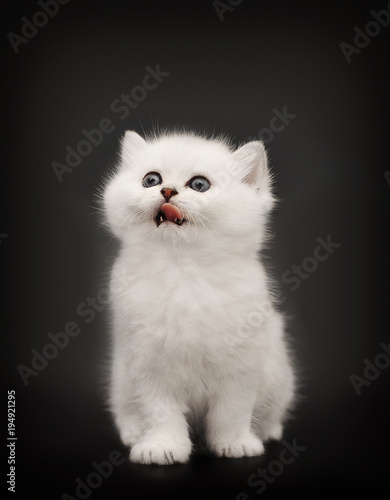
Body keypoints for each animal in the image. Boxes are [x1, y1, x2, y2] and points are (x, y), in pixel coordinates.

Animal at [101, 130, 296, 464]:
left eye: (199, 185)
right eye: (151, 179)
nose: (167, 190)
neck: (183, 268)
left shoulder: (243, 364)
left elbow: (232, 410)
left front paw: (235, 444)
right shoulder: (146, 364)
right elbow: (160, 412)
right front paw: (161, 447)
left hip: (276, 374)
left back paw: (266, 431)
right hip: (120, 379)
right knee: (126, 409)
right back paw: (134, 433)